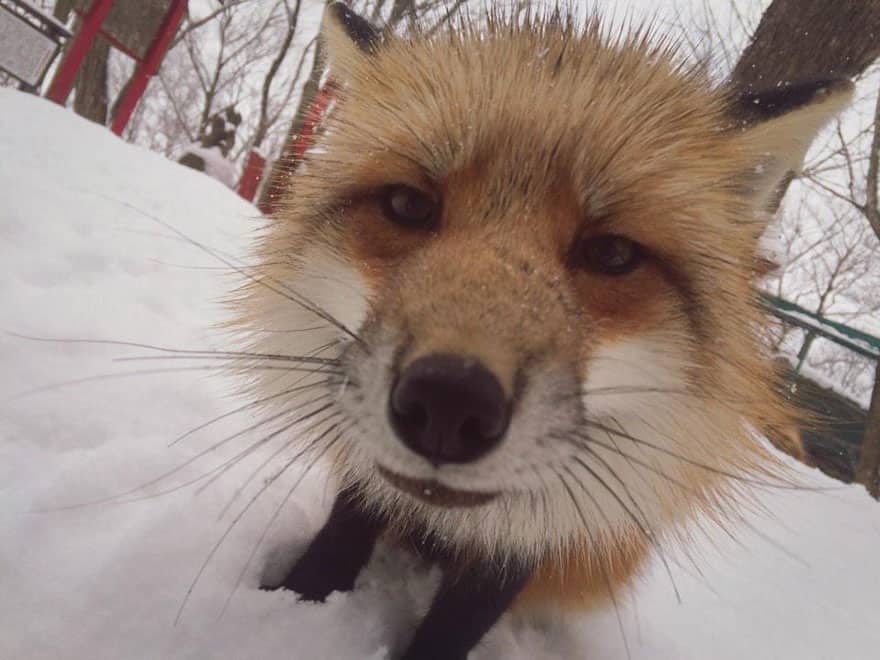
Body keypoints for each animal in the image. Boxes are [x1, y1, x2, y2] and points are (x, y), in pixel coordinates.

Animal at [234, 2, 852, 656]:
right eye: (408, 205)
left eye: (612, 254)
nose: (449, 403)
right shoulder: (369, 468)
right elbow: (341, 536)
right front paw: (296, 603)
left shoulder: (543, 528)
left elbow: (460, 620)